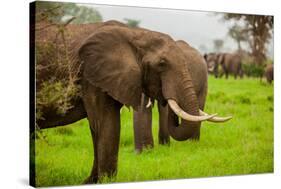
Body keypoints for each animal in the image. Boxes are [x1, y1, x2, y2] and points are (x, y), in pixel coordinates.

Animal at [35, 20, 232, 183]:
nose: (166, 98)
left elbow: (102, 124)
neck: (136, 34)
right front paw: (98, 181)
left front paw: (96, 181)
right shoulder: (91, 76)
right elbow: (105, 122)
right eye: (161, 64)